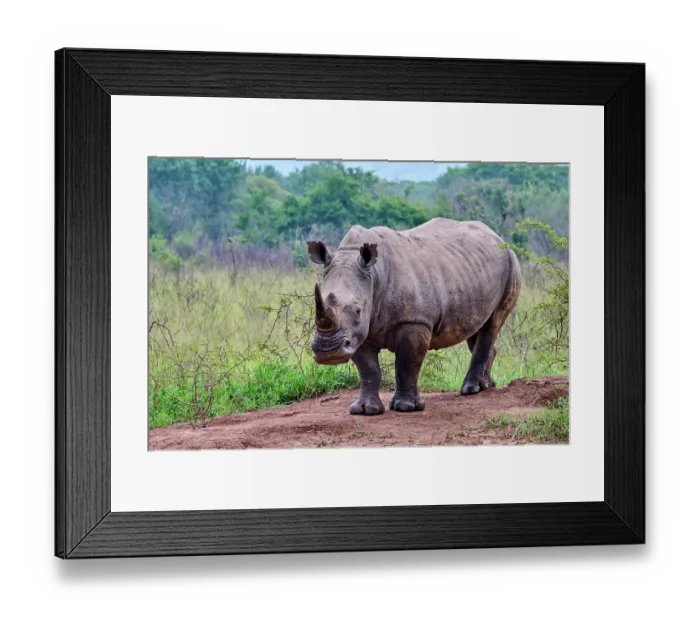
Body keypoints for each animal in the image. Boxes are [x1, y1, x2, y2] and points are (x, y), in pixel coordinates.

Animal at [307, 218, 522, 415]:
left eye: (358, 310)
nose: (329, 352)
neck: (374, 275)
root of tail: (497, 237)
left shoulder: (414, 320)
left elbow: (407, 363)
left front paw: (405, 407)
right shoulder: (357, 333)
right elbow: (368, 369)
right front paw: (365, 410)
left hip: (511, 263)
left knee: (492, 323)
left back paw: (471, 390)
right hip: (473, 270)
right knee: (476, 326)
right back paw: (487, 385)